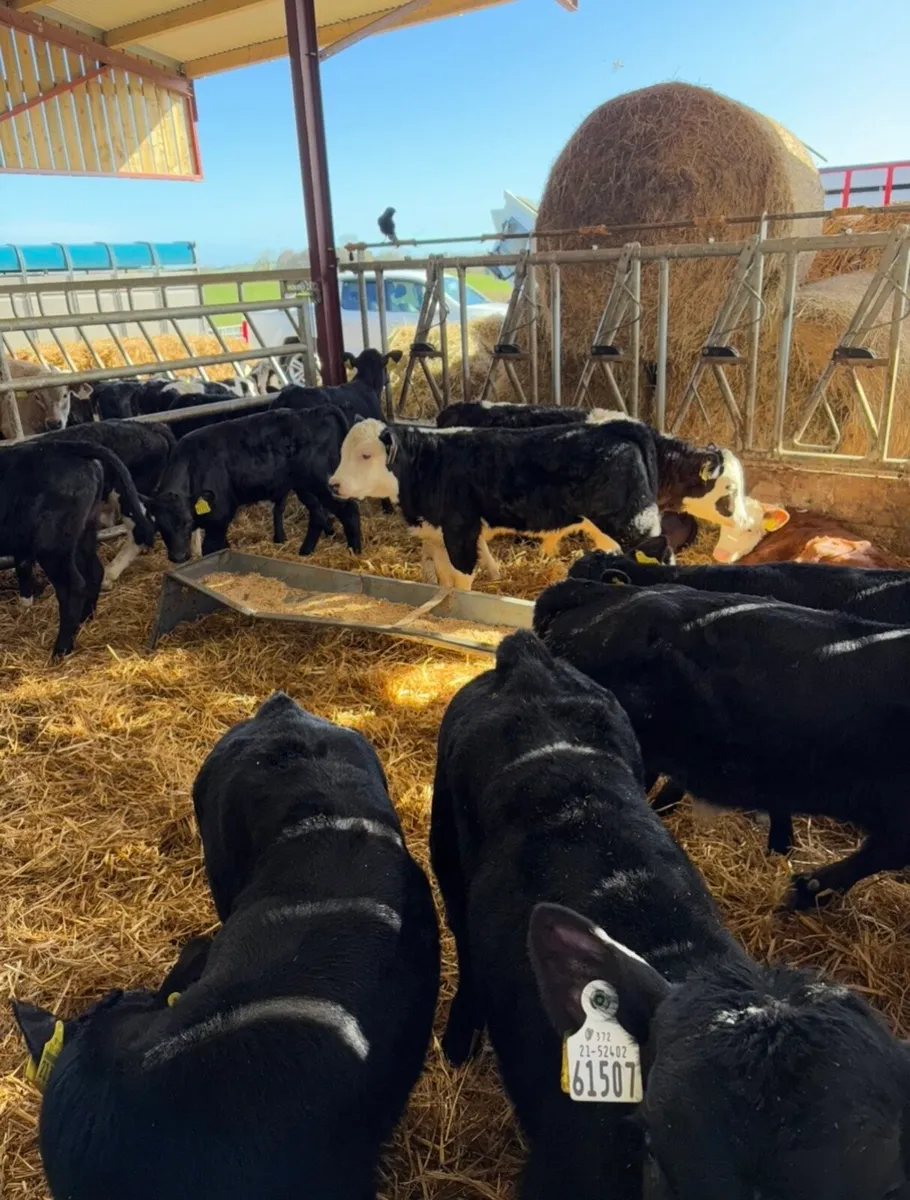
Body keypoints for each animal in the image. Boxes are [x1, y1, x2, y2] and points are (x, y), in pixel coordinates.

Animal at [0, 440, 154, 656]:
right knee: (94, 571)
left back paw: (61, 649)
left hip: (52, 547)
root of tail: (65, 446)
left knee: (72, 587)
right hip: (84, 533)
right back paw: (84, 619)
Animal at [145, 406, 360, 563]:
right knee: (318, 514)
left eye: (187, 522)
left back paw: (355, 552)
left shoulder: (219, 517)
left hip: (324, 483)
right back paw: (305, 552)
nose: (178, 557)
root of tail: (315, 411)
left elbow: (212, 549)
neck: (193, 465)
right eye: (160, 526)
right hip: (305, 487)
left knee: (348, 509)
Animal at [328, 418, 748, 589]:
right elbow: (445, 579)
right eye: (343, 450)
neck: (429, 465)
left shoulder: (460, 529)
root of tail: (622, 427)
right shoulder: (437, 531)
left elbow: (462, 580)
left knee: (660, 551)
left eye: (365, 455)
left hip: (632, 520)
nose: (333, 484)